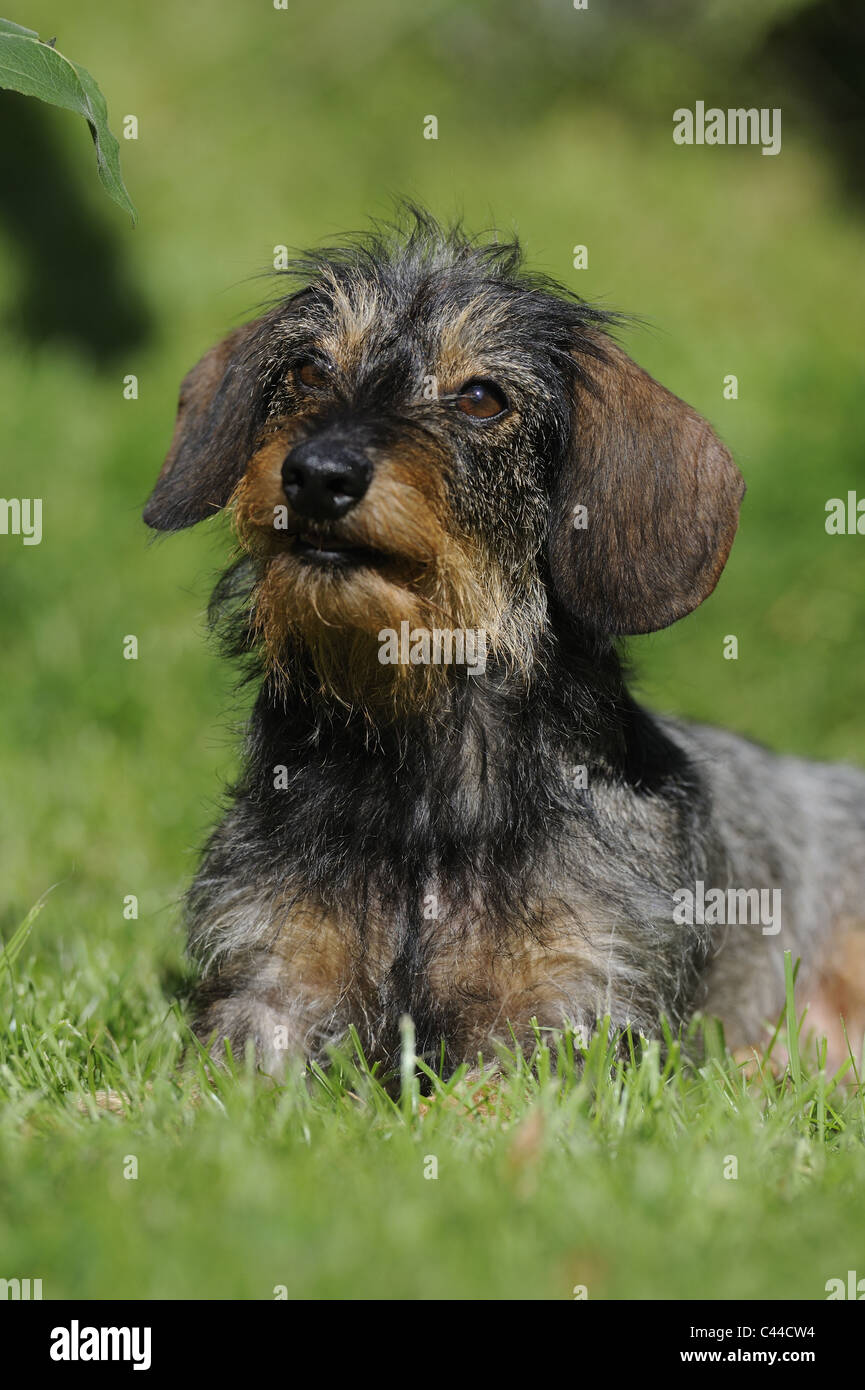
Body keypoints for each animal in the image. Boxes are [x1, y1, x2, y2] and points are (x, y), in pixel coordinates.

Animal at [143, 202, 865, 1073]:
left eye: (482, 398)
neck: (423, 775)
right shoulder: (269, 986)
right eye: (310, 371)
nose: (318, 473)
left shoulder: (564, 1019)